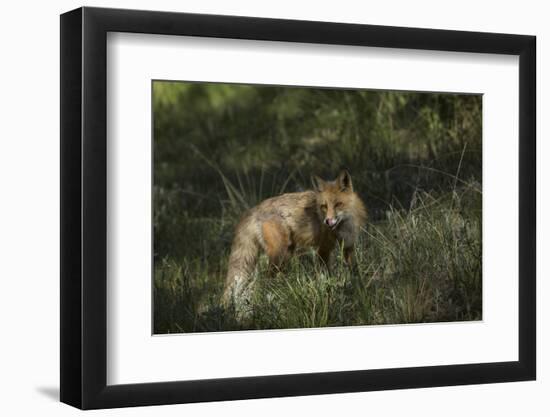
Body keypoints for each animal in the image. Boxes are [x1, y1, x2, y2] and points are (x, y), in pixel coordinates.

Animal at [222, 171, 368, 308]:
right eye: (324, 206)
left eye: (338, 204)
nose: (327, 221)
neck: (343, 226)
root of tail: (255, 208)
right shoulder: (323, 249)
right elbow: (326, 277)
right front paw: (329, 295)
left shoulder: (348, 246)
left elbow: (355, 271)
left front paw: (360, 289)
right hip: (279, 255)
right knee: (265, 280)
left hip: (286, 254)